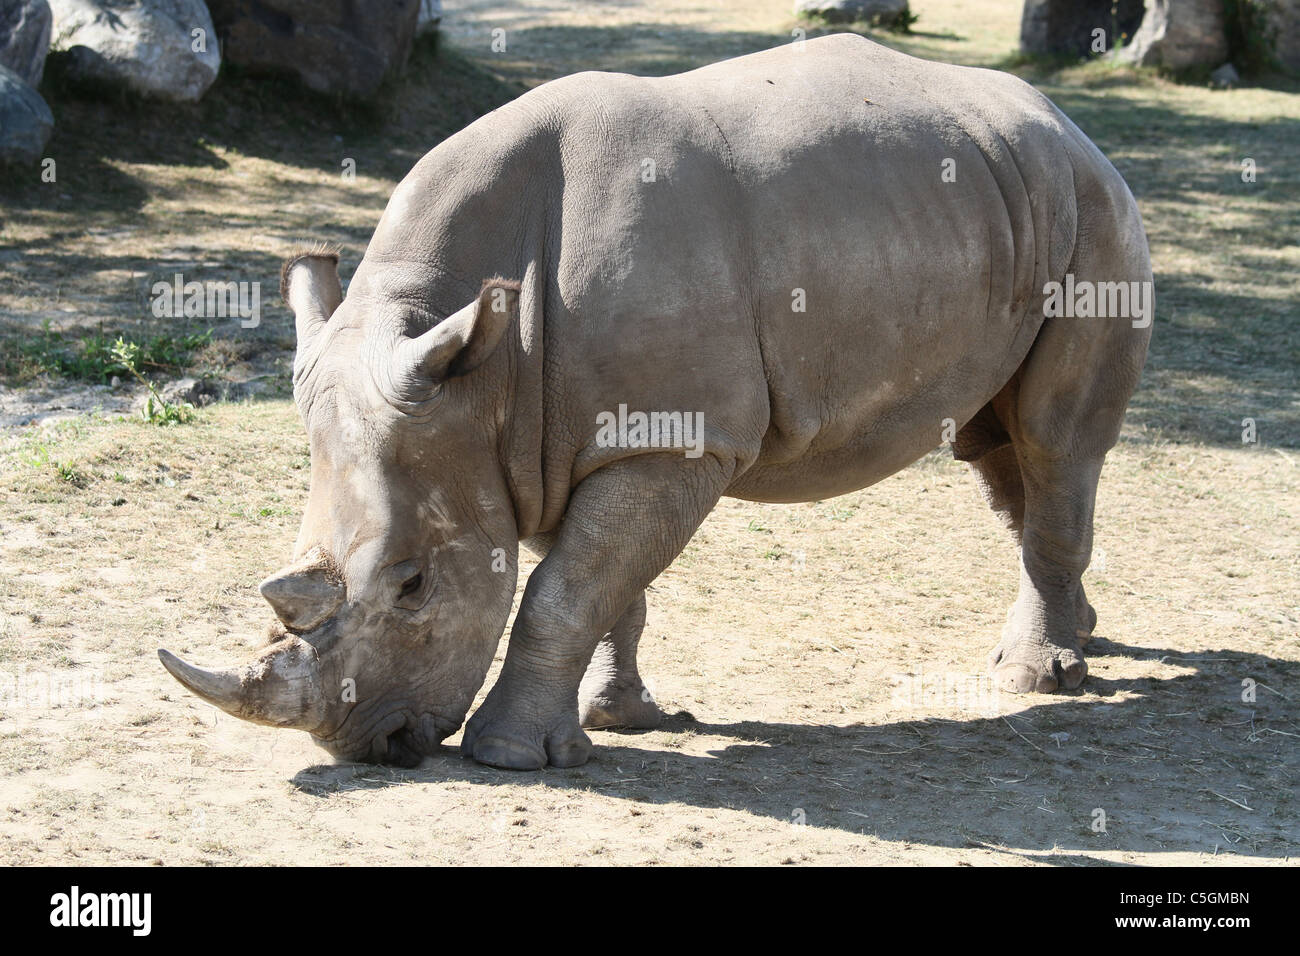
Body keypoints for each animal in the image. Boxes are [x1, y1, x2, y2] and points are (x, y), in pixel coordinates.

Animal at [159, 34, 1153, 769]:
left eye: (412, 586)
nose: (375, 744)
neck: (483, 373)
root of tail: (1066, 123)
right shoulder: (538, 438)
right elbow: (602, 586)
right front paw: (616, 720)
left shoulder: (670, 440)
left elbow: (566, 589)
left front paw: (510, 757)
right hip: (1006, 204)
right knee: (997, 451)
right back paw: (1085, 640)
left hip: (1096, 215)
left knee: (1055, 441)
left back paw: (1036, 679)